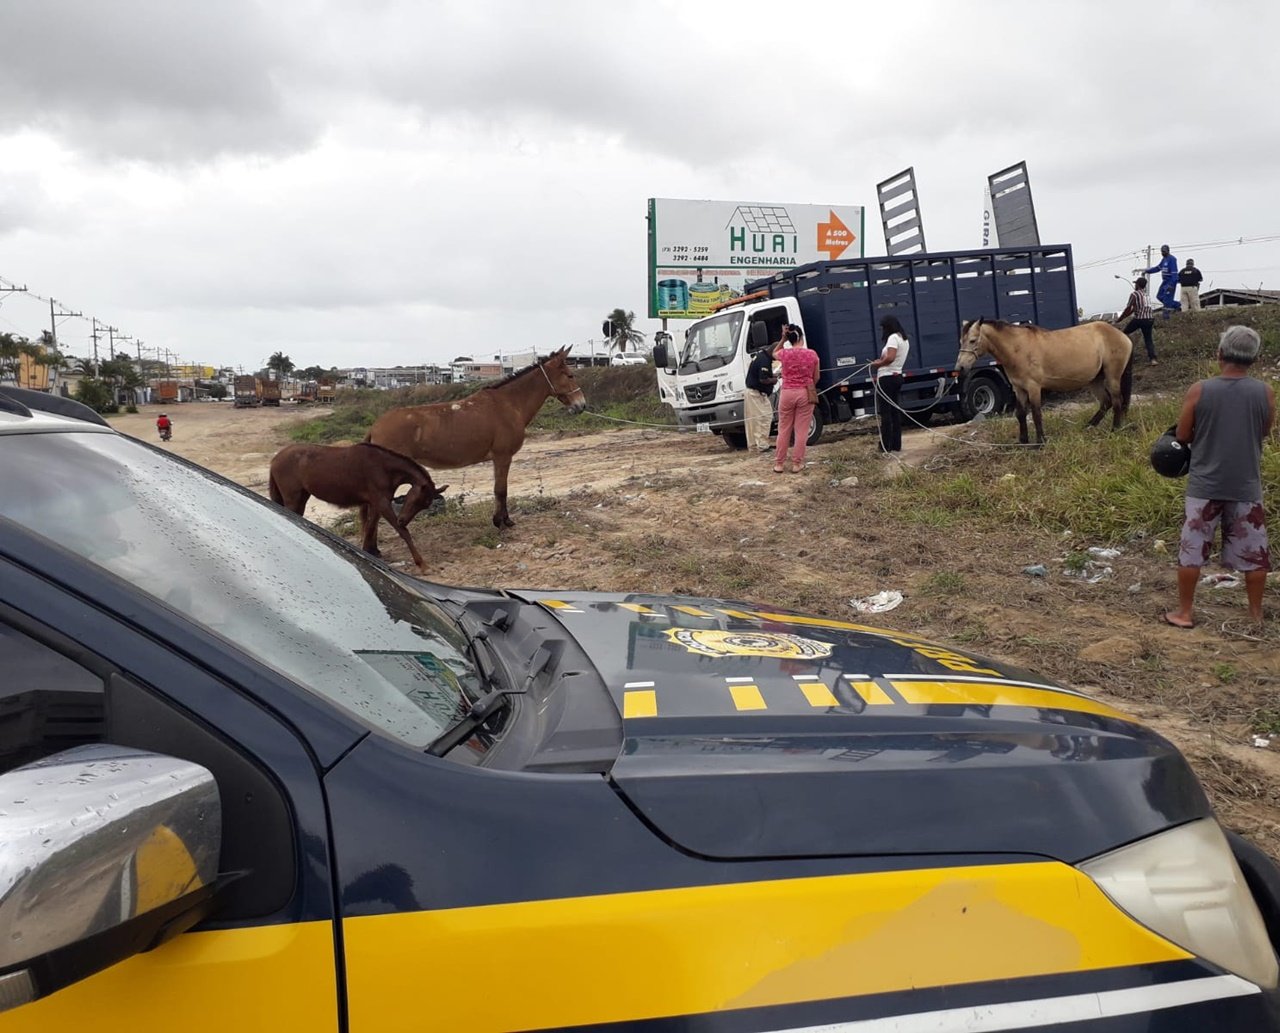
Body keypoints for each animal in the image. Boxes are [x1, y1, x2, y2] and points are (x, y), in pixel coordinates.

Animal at [366, 348, 586, 529]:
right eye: (570, 375)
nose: (582, 405)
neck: (508, 403)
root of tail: (375, 426)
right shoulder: (503, 457)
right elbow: (501, 490)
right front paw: (502, 522)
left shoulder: (498, 459)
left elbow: (499, 490)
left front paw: (502, 520)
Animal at [962, 317, 1131, 442]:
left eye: (972, 340)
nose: (961, 366)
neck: (1018, 348)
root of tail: (1123, 336)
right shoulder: (1019, 389)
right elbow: (1020, 414)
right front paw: (1023, 441)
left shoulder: (1033, 387)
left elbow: (1036, 414)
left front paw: (1040, 441)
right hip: (1095, 380)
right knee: (1106, 402)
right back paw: (1088, 426)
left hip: (1112, 377)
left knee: (1116, 401)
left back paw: (1114, 430)